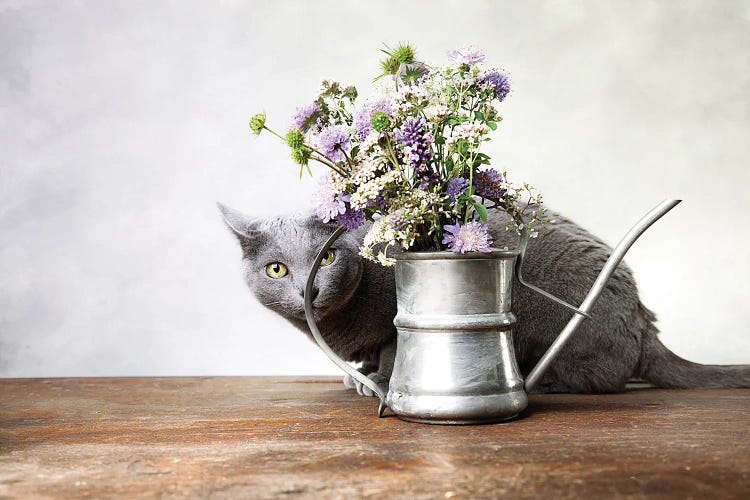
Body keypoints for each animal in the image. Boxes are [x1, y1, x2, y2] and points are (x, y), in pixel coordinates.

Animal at [219, 203, 750, 394]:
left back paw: (551, 383)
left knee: (602, 379)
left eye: (326, 258)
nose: (307, 288)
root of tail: (644, 320)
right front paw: (359, 376)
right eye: (276, 269)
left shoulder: (392, 321)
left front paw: (382, 381)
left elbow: (391, 350)